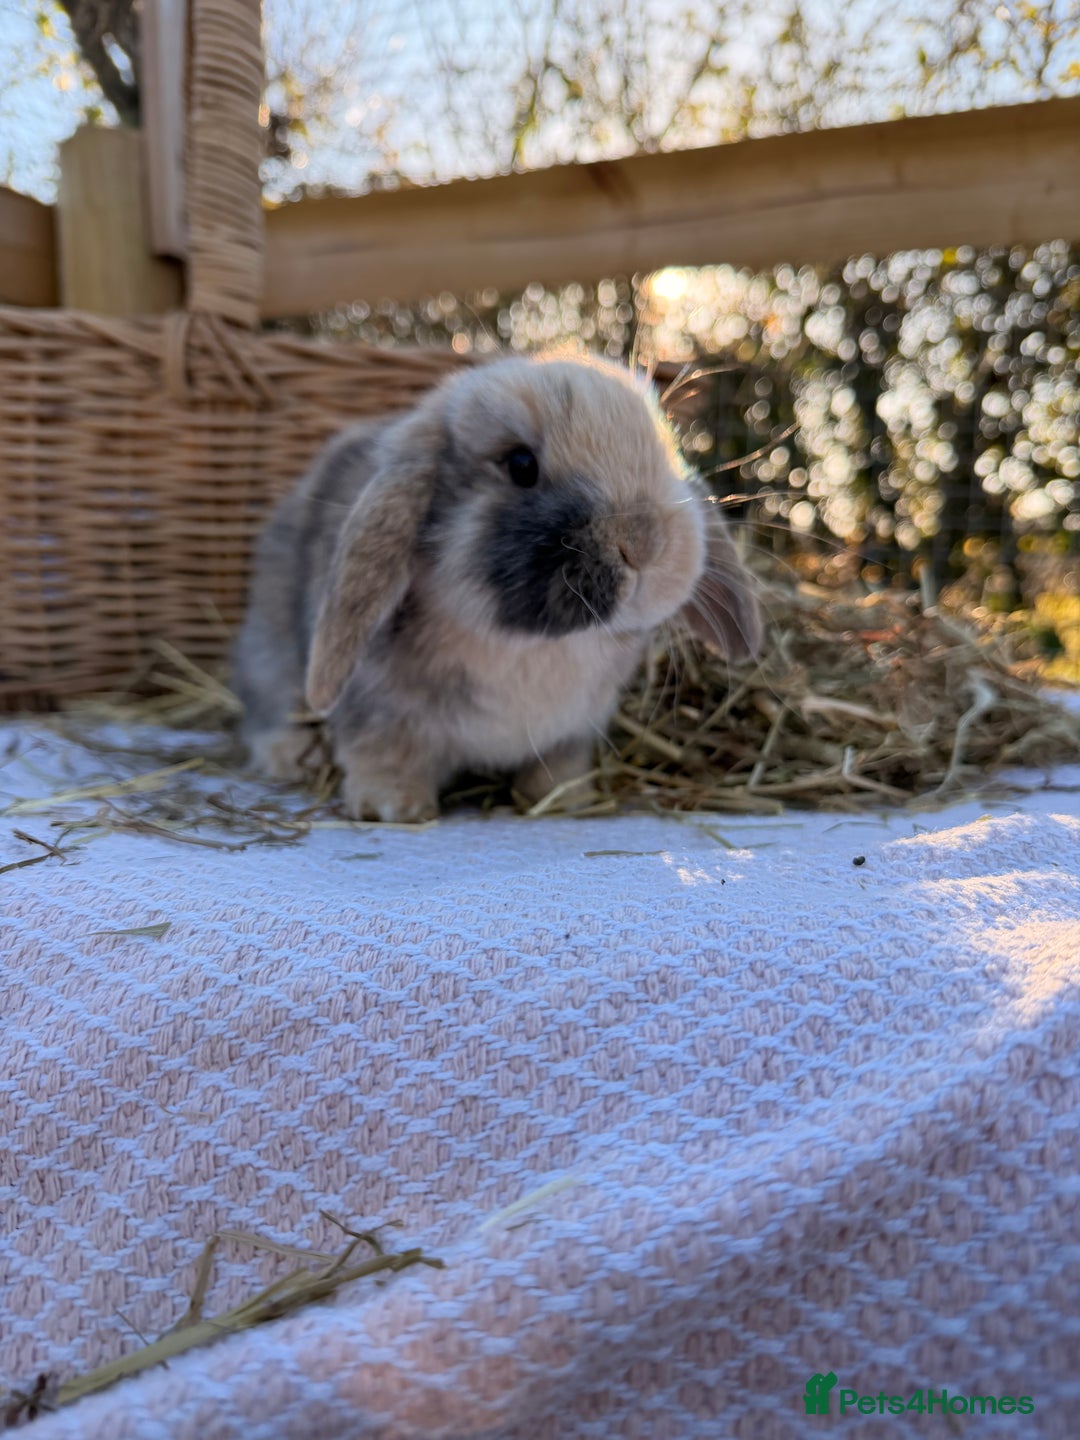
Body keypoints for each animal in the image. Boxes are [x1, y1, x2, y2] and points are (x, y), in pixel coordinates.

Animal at [233, 353, 763, 821]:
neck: (527, 646)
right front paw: (393, 807)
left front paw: (567, 801)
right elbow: (383, 755)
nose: (645, 542)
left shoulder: (573, 731)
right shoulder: (376, 714)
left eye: (669, 456)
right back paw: (290, 756)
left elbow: (558, 769)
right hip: (267, 652)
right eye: (521, 464)